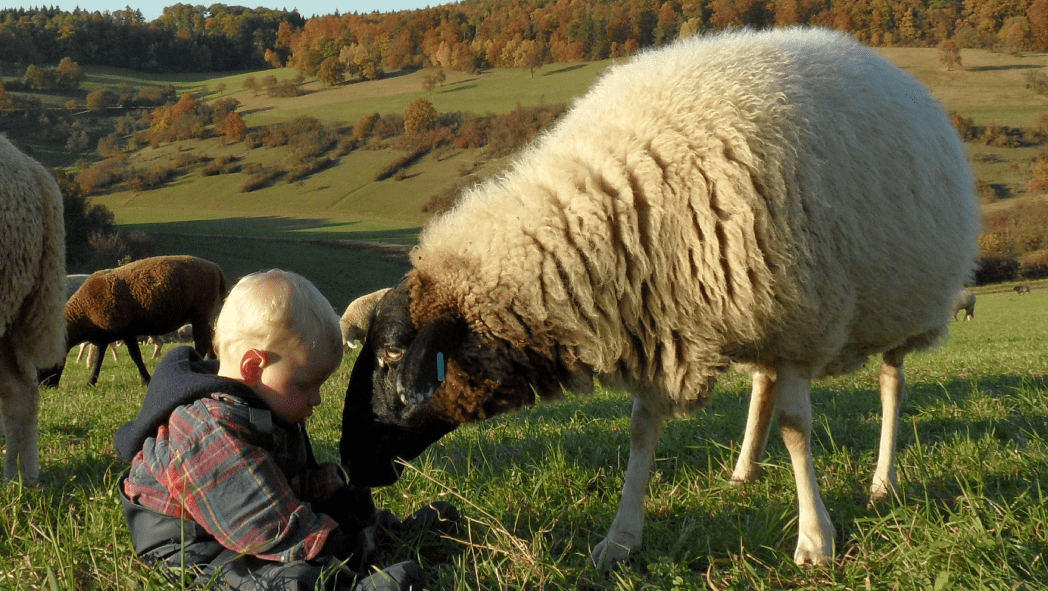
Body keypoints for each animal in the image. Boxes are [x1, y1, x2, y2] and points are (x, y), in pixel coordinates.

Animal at [40, 255, 226, 387]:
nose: (44, 386)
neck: (84, 311)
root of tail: (215, 267)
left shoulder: (127, 331)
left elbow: (135, 356)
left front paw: (146, 379)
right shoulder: (104, 335)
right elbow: (99, 358)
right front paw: (91, 381)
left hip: (200, 313)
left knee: (202, 342)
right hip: (203, 315)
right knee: (210, 338)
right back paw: (211, 363)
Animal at [338, 27, 980, 568]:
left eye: (393, 355)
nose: (347, 462)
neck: (628, 200)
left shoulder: (801, 323)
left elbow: (798, 427)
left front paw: (815, 541)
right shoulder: (658, 319)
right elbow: (642, 430)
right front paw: (620, 539)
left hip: (903, 307)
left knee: (890, 384)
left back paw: (882, 482)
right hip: (759, 309)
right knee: (762, 383)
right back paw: (744, 469)